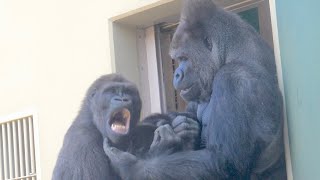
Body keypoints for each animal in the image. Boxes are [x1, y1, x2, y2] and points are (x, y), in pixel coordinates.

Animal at [51, 73, 199, 180]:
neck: (92, 120)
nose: (122, 99)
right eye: (110, 91)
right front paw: (163, 146)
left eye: (128, 92)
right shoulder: (83, 143)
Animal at [104, 0, 286, 179]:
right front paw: (183, 128)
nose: (177, 74)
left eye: (183, 58)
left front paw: (129, 165)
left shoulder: (235, 78)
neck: (236, 52)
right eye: (178, 59)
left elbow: (223, 160)